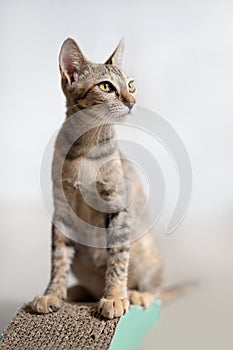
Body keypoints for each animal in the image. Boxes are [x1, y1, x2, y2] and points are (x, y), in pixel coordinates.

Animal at [31, 38, 182, 320]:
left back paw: (138, 294)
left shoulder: (117, 205)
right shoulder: (62, 210)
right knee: (88, 284)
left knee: (157, 289)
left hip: (144, 245)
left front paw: (114, 297)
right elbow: (58, 259)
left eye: (131, 85)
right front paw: (52, 294)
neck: (87, 149)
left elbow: (118, 258)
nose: (132, 101)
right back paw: (76, 292)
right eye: (106, 86)